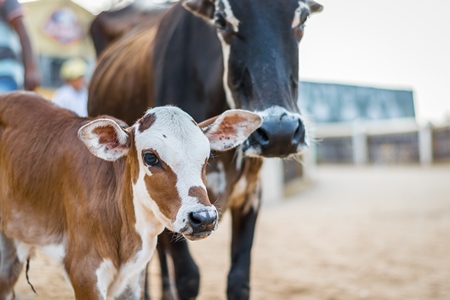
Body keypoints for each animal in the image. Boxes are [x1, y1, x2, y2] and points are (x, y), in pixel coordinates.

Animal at [88, 1, 322, 298]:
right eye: (221, 22)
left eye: (302, 19)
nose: (281, 132)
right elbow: (188, 278)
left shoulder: (250, 194)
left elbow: (238, 281)